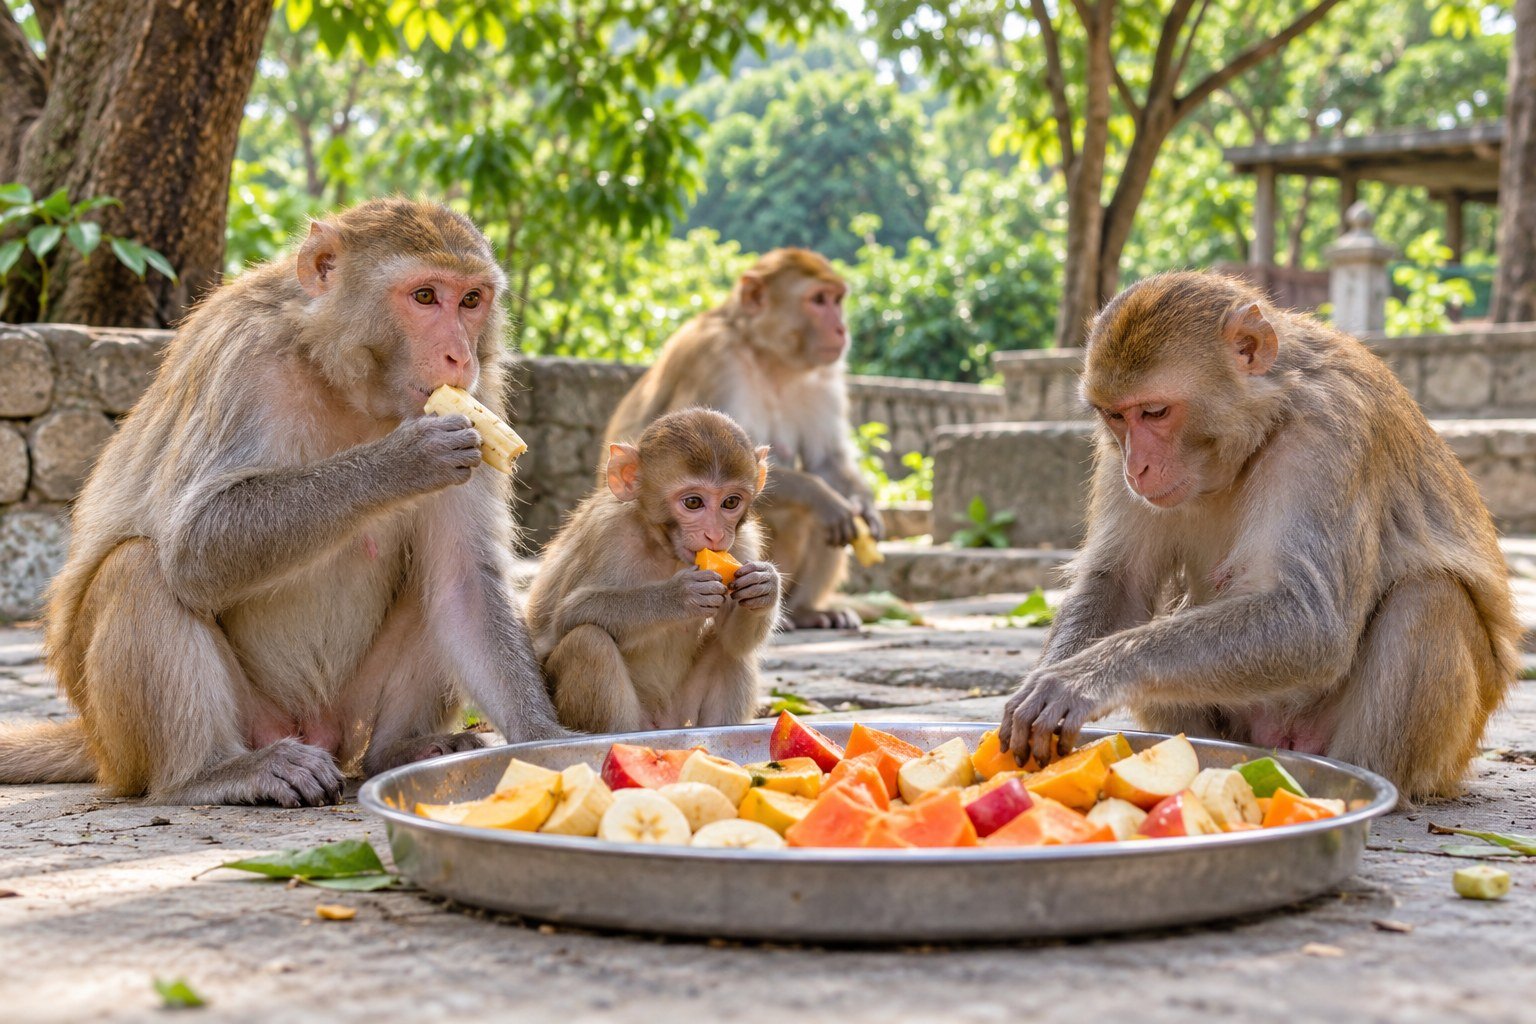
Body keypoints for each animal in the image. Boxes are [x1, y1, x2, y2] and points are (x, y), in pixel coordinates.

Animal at [0, 199, 566, 807]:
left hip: (347, 712)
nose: (459, 356)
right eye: (424, 296)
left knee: (436, 588)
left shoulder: (482, 402)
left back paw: (402, 751)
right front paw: (405, 460)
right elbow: (194, 546)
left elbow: (463, 584)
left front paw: (548, 741)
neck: (340, 377)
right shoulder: (242, 358)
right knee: (139, 567)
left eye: (470, 300)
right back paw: (210, 773)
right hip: (158, 739)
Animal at [525, 408, 781, 732]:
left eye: (731, 502)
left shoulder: (744, 542)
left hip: (681, 712)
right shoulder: (609, 532)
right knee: (589, 642)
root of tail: (663, 724)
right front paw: (677, 597)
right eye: (693, 502)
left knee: (731, 650)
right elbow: (567, 615)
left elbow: (735, 639)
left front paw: (764, 586)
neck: (664, 547)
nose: (714, 535)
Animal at [604, 248, 880, 630]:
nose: (842, 329)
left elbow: (827, 461)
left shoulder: (824, 374)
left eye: (837, 300)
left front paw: (864, 506)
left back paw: (807, 610)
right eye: (819, 300)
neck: (769, 356)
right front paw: (822, 497)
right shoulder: (714, 358)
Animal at [998, 271, 1519, 801]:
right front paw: (1045, 682)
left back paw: (1365, 784)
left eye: (1156, 412)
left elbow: (1313, 622)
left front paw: (1085, 677)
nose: (1135, 468)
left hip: (1434, 754)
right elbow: (1119, 585)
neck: (1264, 423)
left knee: (1429, 598)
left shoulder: (1328, 431)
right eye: (1115, 416)